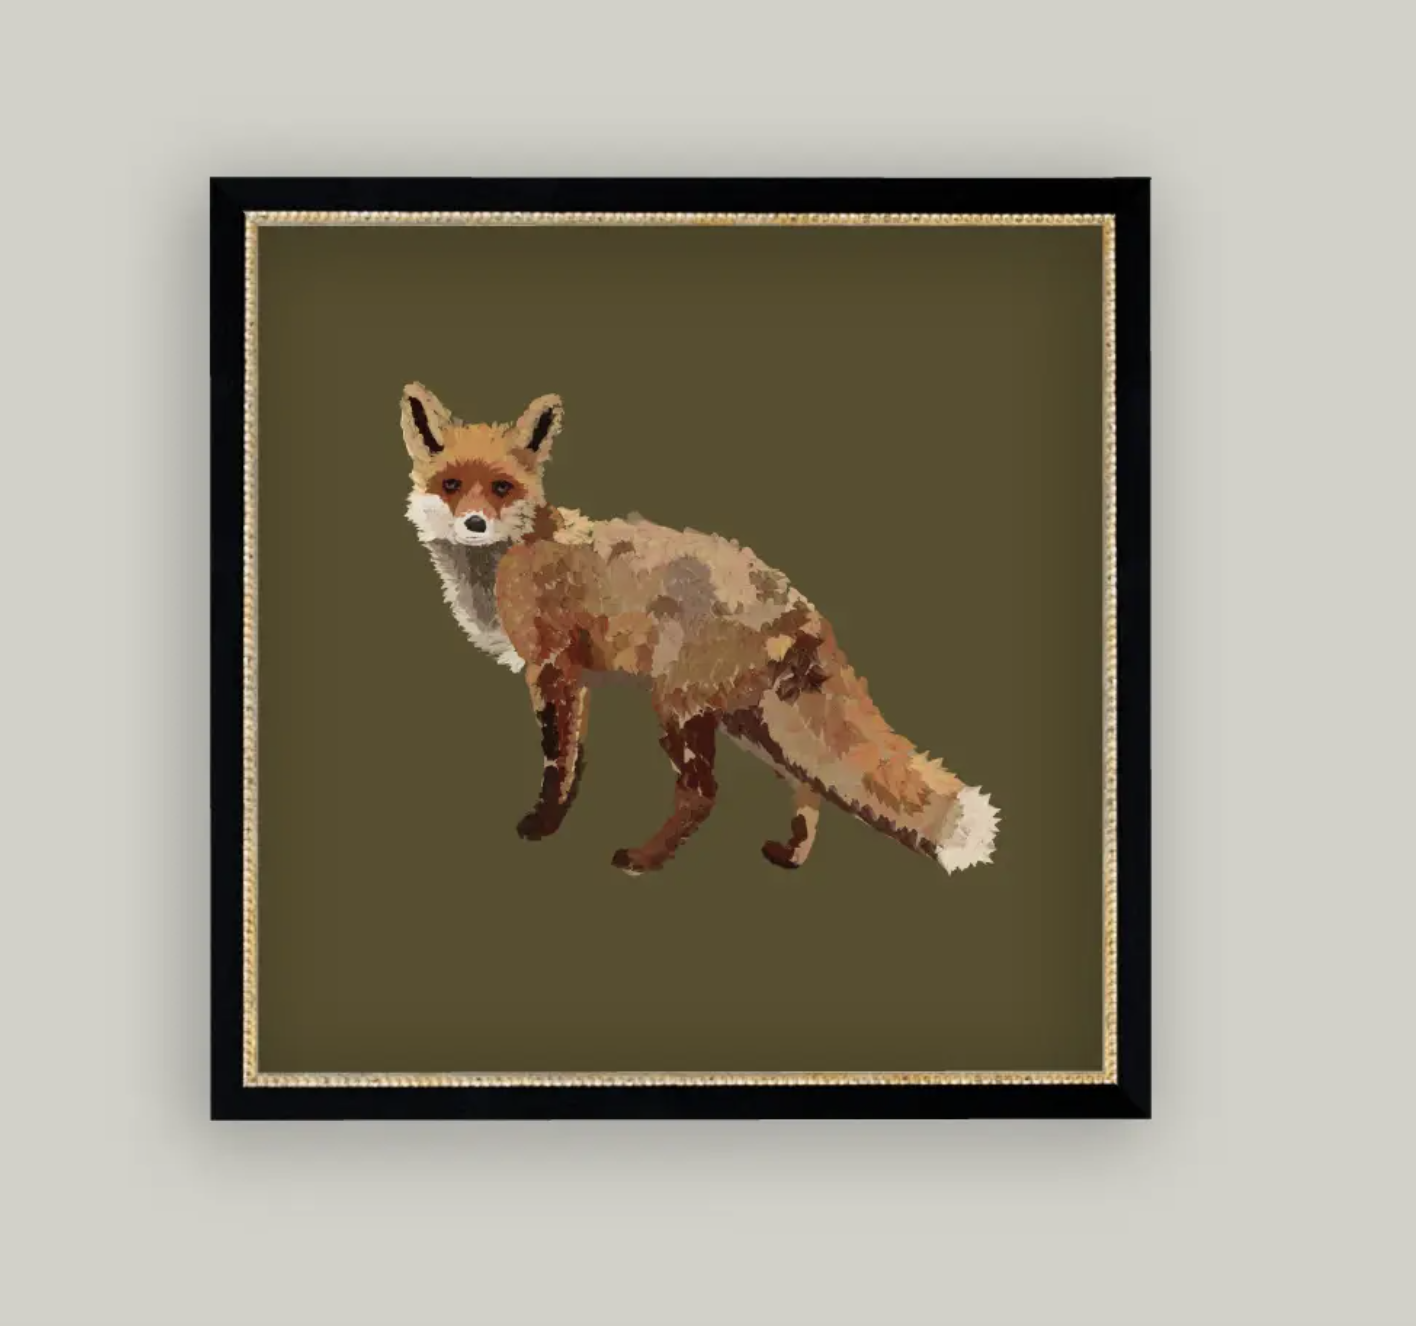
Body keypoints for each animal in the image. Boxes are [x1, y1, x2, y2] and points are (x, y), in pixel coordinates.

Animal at [401, 383, 999, 876]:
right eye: (451, 485)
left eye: (501, 488)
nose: (474, 523)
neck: (505, 558)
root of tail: (799, 602)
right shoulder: (570, 676)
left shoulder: (553, 668)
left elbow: (560, 763)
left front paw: (543, 827)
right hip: (748, 721)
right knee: (807, 785)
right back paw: (790, 856)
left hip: (680, 708)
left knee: (703, 792)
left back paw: (643, 861)